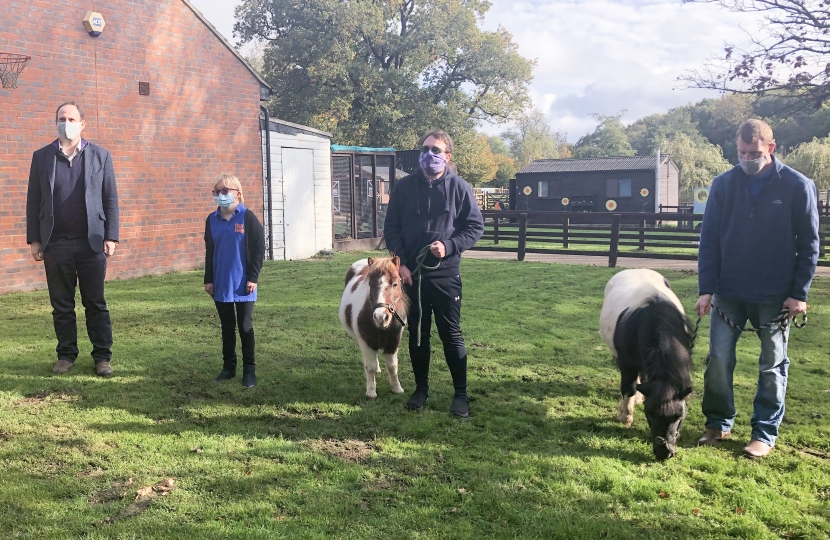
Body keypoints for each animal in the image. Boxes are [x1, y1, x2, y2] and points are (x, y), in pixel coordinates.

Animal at [340, 255, 412, 398]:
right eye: (370, 285)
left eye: (395, 284)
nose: (380, 317)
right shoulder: (366, 342)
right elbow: (371, 367)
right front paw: (371, 392)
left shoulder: (393, 343)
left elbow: (392, 367)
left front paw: (397, 388)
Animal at [600, 268, 700, 460]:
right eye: (650, 414)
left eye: (679, 417)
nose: (664, 453)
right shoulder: (627, 363)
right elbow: (629, 388)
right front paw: (625, 416)